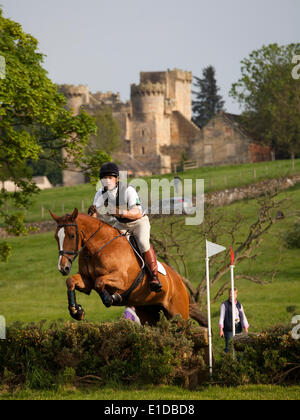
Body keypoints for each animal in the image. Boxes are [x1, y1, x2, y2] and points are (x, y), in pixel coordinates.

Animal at [49, 208, 190, 324]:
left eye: (72, 235)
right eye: (56, 237)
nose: (63, 268)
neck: (98, 247)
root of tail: (179, 281)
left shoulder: (122, 279)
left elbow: (99, 282)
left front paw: (111, 298)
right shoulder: (87, 281)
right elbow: (71, 281)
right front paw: (76, 311)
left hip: (178, 315)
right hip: (148, 313)